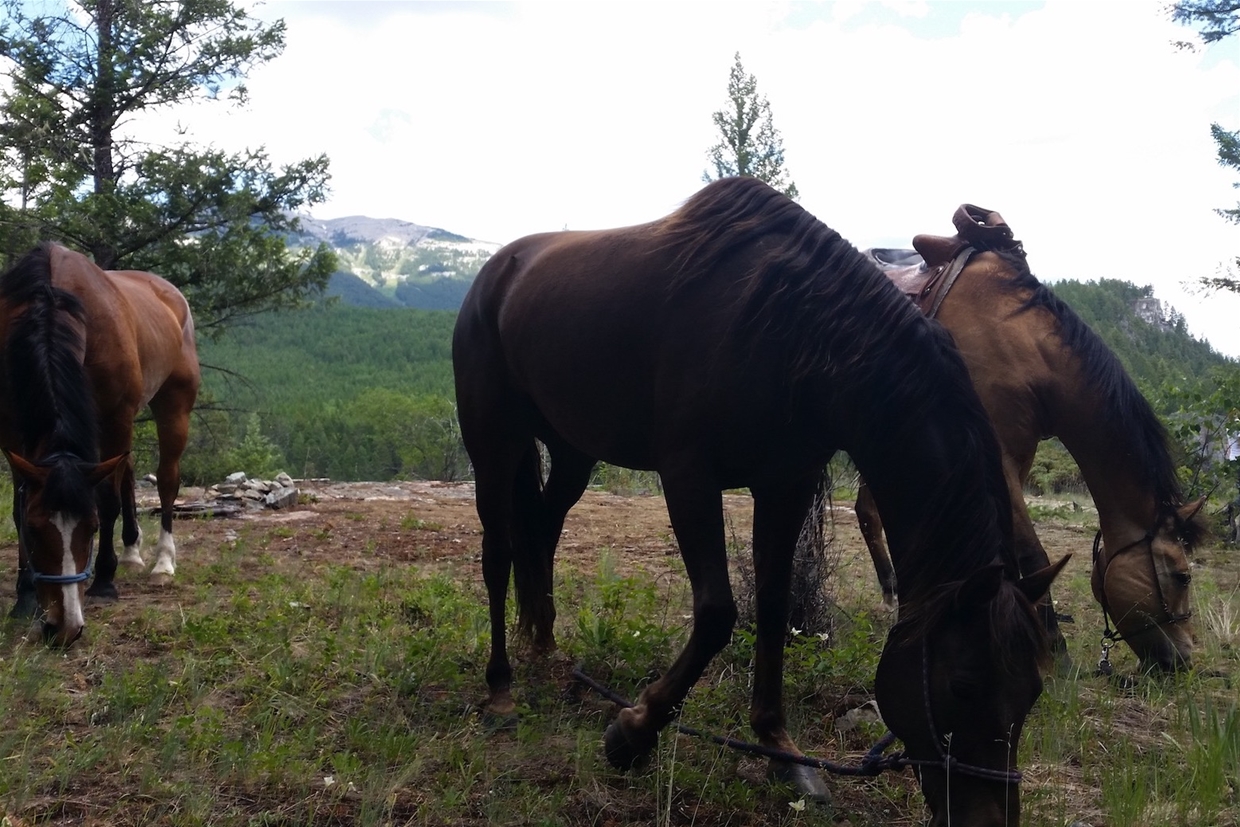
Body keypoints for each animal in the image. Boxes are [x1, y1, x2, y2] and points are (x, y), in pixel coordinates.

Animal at [0, 243, 200, 647]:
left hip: (173, 406)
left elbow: (107, 499)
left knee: (166, 480)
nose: (63, 627)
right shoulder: (11, 426)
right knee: (128, 471)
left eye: (91, 528)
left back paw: (162, 562)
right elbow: (17, 506)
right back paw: (132, 552)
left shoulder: (115, 418)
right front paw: (24, 596)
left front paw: (105, 582)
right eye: (34, 529)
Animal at [453, 177, 1066, 825]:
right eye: (963, 686)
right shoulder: (689, 477)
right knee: (498, 554)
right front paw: (633, 732)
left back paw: (544, 646)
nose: (990, 819)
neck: (797, 327)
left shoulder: (786, 482)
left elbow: (773, 607)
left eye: (1032, 690)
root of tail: (498, 270)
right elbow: (719, 613)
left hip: (572, 451)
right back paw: (501, 691)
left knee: (542, 531)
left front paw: (781, 749)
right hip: (494, 441)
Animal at [854, 205, 1205, 672]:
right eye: (1182, 576)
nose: (1183, 659)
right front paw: (1054, 645)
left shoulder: (1019, 457)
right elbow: (1032, 553)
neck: (1020, 344)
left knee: (868, 512)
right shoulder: (995, 453)